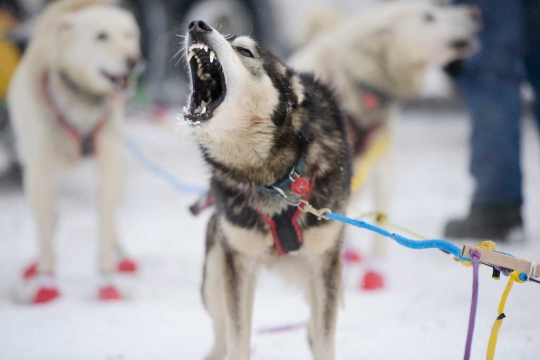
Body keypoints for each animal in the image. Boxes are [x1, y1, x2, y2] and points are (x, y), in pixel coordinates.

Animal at [7, 0, 141, 304]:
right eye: (101, 36)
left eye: (128, 34)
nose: (133, 60)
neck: (80, 100)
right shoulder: (40, 174)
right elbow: (46, 234)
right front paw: (47, 284)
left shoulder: (108, 164)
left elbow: (104, 224)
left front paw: (106, 282)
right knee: (47, 220)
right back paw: (36, 265)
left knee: (111, 216)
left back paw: (121, 254)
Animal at [182, 20, 350, 360]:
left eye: (245, 51)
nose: (197, 24)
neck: (271, 177)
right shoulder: (238, 261)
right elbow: (238, 339)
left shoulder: (324, 261)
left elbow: (324, 339)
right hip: (214, 276)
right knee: (222, 338)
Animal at [288, 0, 478, 286]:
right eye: (428, 17)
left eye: (438, 8)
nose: (476, 14)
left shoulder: (381, 167)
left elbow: (378, 222)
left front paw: (376, 265)